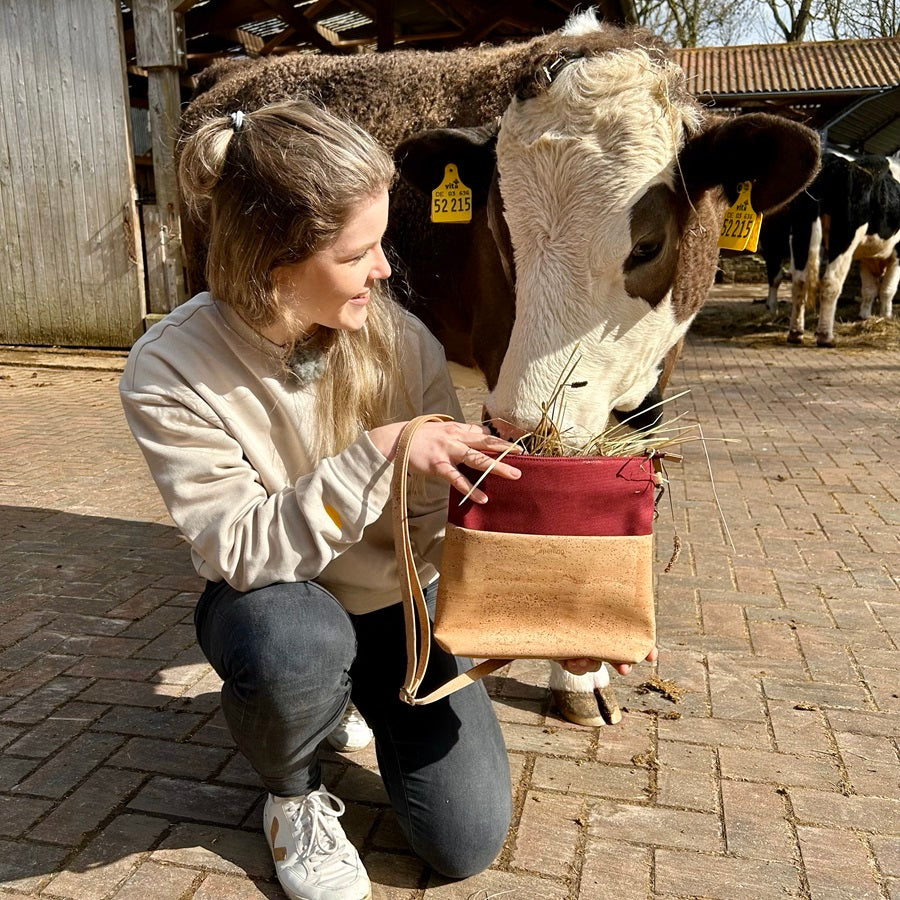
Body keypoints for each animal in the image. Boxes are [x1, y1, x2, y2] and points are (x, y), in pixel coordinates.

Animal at [179, 8, 820, 724]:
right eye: (500, 233)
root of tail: (234, 72)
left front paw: (582, 662)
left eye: (647, 245)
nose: (525, 421)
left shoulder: (659, 379)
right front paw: (575, 674)